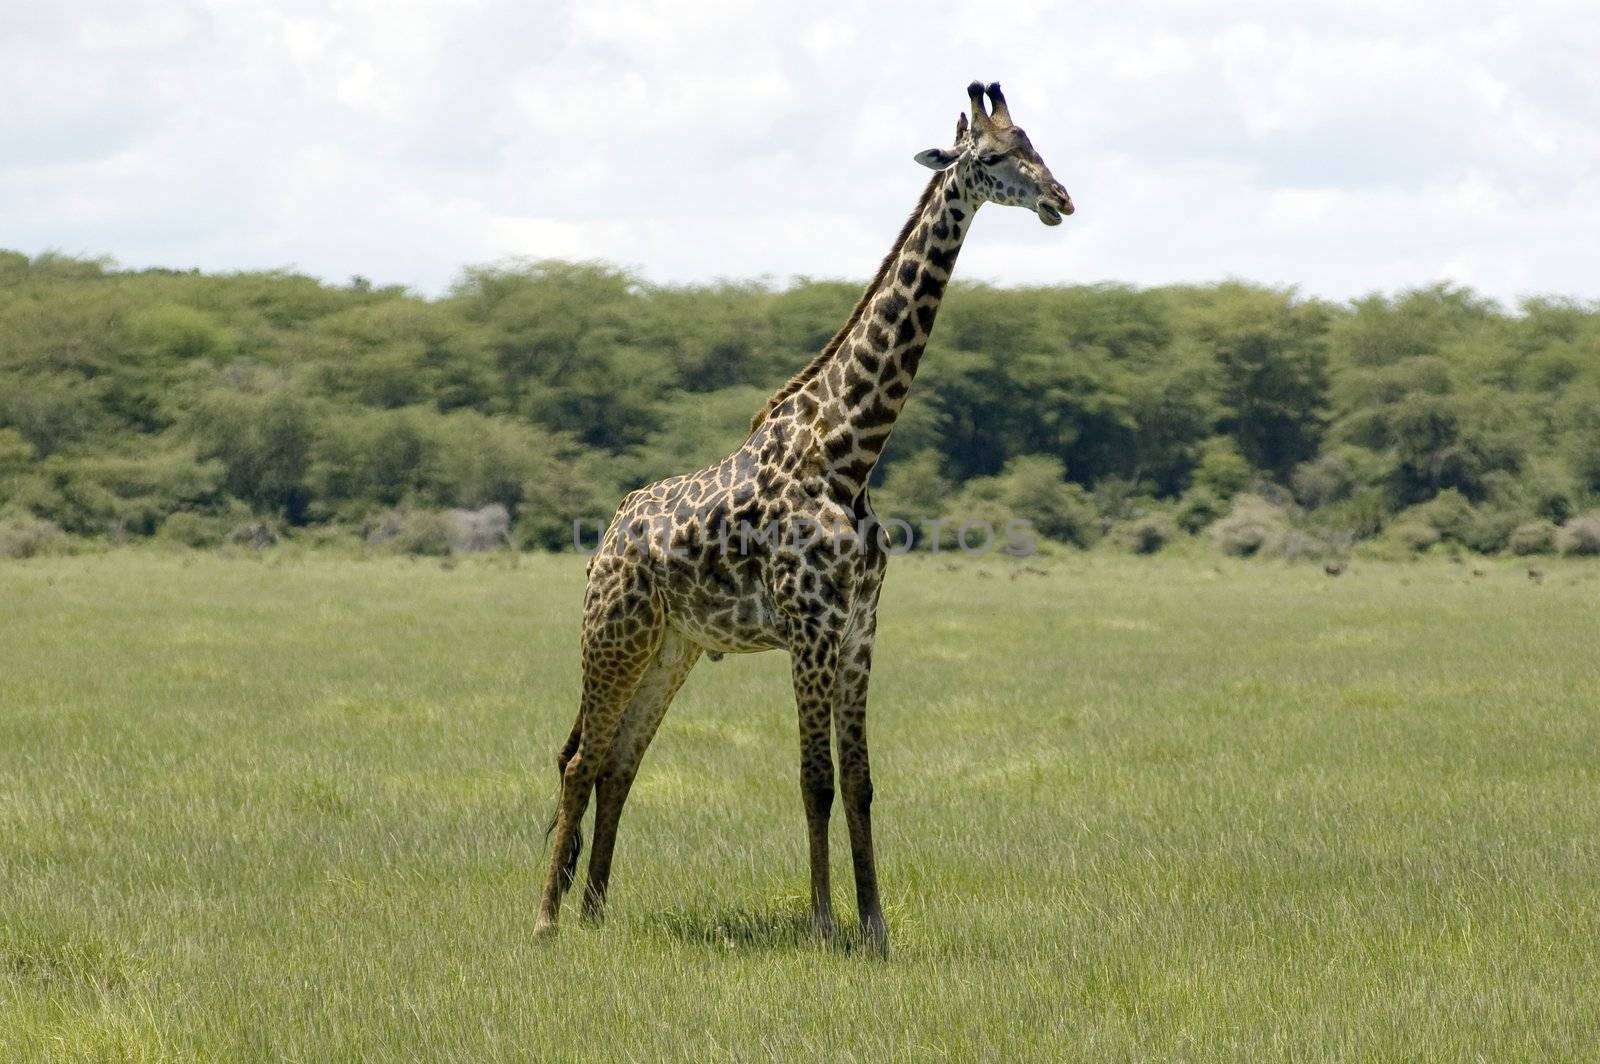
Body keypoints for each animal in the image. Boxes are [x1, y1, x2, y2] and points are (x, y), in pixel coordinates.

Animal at [537, 78, 1075, 947]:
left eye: (1037, 146)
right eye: (995, 157)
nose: (1061, 199)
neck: (849, 453)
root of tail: (609, 534)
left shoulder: (860, 632)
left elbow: (859, 781)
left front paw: (876, 928)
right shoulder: (812, 631)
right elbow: (814, 779)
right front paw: (825, 925)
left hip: (673, 647)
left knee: (619, 761)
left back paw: (595, 915)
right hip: (612, 632)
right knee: (579, 759)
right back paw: (548, 921)